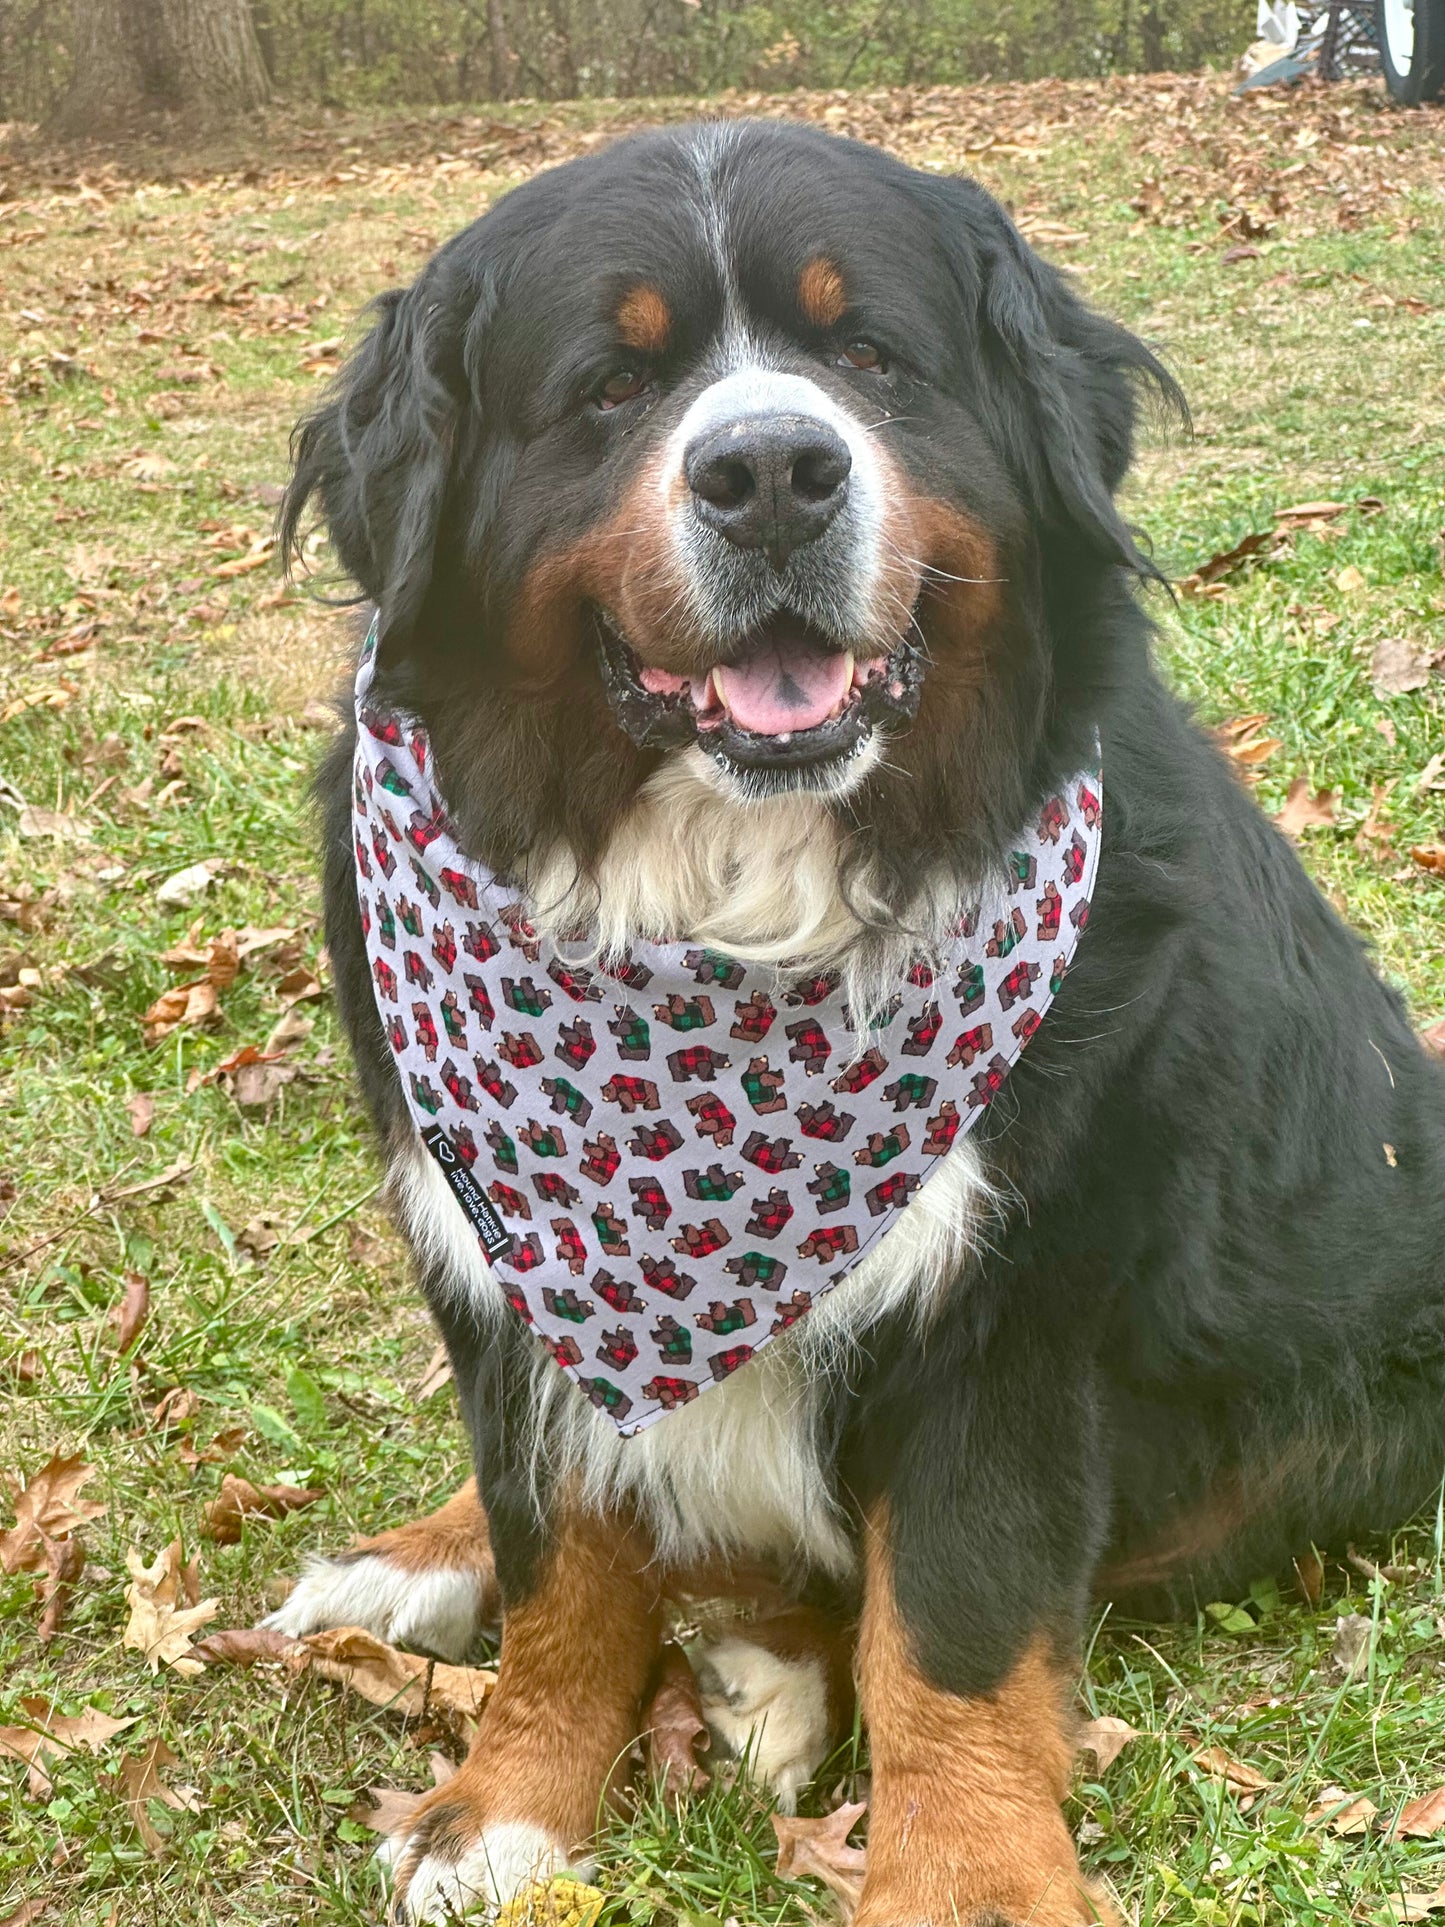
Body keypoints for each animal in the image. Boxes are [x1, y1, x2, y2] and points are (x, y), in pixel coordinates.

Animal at [269, 120, 1445, 1927]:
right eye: (612, 383)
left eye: (872, 357)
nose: (770, 471)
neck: (729, 914)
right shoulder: (507, 1262)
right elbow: (563, 1562)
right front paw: (509, 1802)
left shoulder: (1012, 1313)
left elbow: (951, 1623)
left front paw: (963, 1872)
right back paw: (414, 1558)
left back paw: (772, 1662)